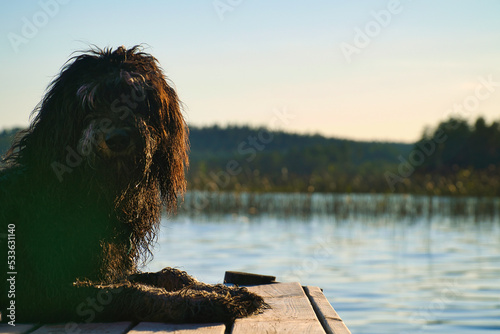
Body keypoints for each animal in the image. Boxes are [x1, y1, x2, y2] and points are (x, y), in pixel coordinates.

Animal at [0, 45, 264, 324]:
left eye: (139, 99)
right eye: (91, 102)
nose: (117, 138)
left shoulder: (109, 268)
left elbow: (169, 275)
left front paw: (215, 289)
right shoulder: (39, 290)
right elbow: (132, 291)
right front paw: (203, 301)